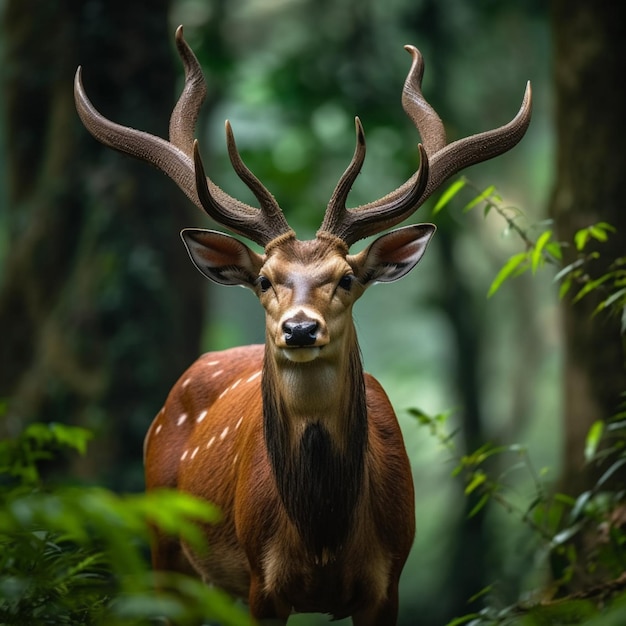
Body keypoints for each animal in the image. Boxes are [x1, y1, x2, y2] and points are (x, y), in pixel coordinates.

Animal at [74, 25, 532, 624]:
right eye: (265, 279)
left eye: (346, 278)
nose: (299, 330)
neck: (323, 538)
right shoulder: (260, 584)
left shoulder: (388, 584)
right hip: (163, 542)